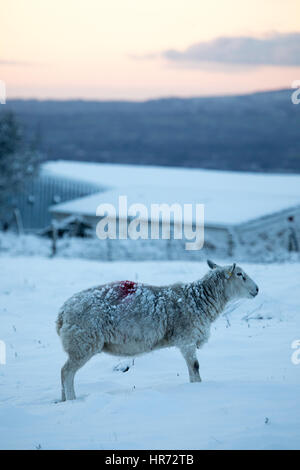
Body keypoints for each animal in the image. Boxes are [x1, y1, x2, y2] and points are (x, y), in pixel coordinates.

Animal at [55, 260, 258, 400]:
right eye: (240, 274)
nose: (257, 289)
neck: (199, 300)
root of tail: (63, 312)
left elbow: (192, 368)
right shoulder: (187, 339)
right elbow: (195, 367)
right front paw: (198, 389)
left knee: (64, 372)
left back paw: (63, 400)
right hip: (82, 342)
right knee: (67, 372)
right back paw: (72, 399)